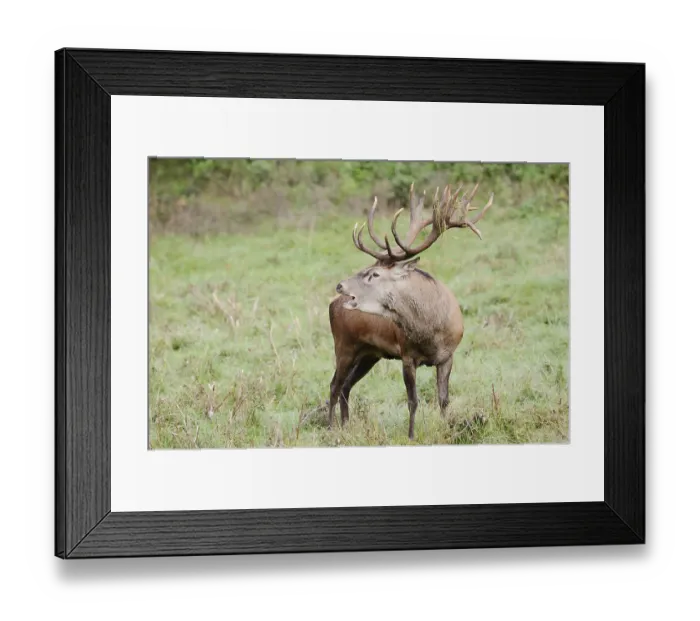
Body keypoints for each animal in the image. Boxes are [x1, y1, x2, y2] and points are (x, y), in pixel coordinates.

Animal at [328, 182, 494, 440]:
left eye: (374, 273)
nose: (340, 285)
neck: (431, 331)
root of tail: (332, 305)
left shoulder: (448, 355)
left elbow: (443, 399)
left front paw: (445, 428)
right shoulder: (407, 355)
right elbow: (413, 401)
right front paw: (411, 436)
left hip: (369, 354)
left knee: (345, 386)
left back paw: (346, 426)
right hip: (344, 345)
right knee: (334, 386)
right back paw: (330, 428)